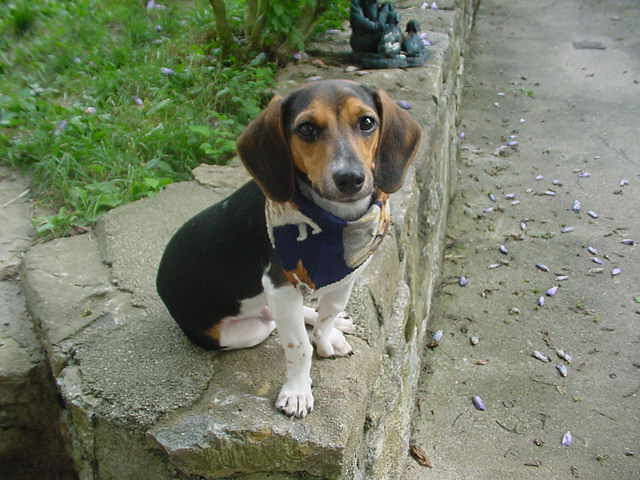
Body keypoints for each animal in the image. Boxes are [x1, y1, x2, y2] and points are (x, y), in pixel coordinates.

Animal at [158, 79, 422, 416]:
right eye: (306, 128)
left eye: (366, 122)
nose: (349, 178)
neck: (336, 223)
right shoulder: (280, 285)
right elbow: (299, 347)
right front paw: (297, 392)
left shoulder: (346, 275)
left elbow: (328, 313)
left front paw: (328, 335)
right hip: (243, 332)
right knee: (271, 321)